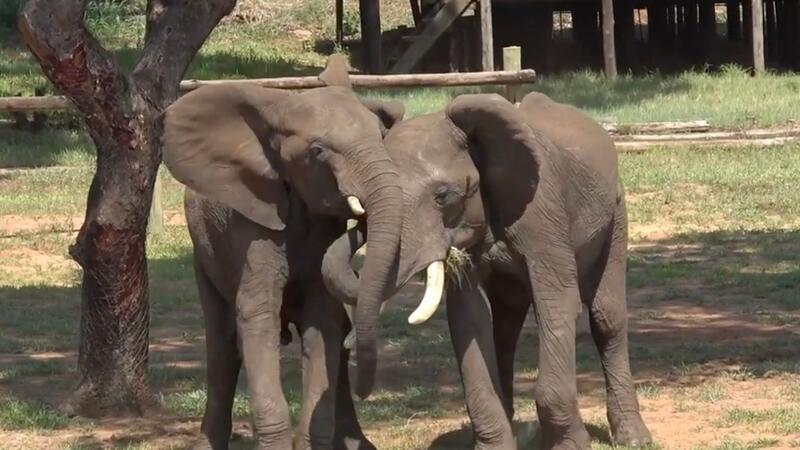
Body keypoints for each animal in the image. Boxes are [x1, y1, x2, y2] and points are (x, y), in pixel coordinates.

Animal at [159, 58, 404, 448]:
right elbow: (256, 316)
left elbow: (323, 323)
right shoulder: (250, 226)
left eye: (381, 136)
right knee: (222, 347)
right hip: (205, 255)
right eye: (318, 151)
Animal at [322, 92, 652, 450]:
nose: (360, 387)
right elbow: (470, 317)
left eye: (443, 197)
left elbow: (557, 302)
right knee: (505, 328)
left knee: (606, 317)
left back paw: (634, 438)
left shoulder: (543, 212)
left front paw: (572, 445)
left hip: (616, 213)